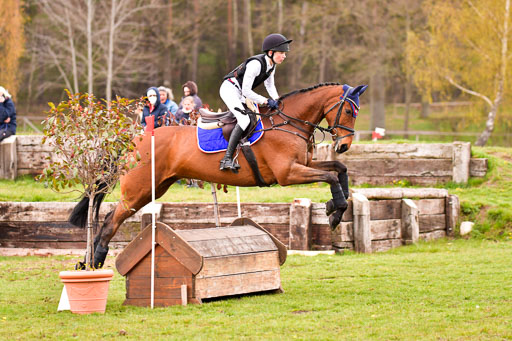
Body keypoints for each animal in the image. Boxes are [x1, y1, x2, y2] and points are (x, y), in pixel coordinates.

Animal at [72, 81, 368, 266]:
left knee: (110, 216)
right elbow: (331, 177)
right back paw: (95, 260)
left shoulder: (303, 166)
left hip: (156, 186)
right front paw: (334, 211)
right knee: (111, 219)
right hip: (140, 188)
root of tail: (135, 138)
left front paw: (335, 207)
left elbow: (339, 170)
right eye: (349, 110)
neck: (288, 122)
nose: (343, 146)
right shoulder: (287, 174)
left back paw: (91, 260)